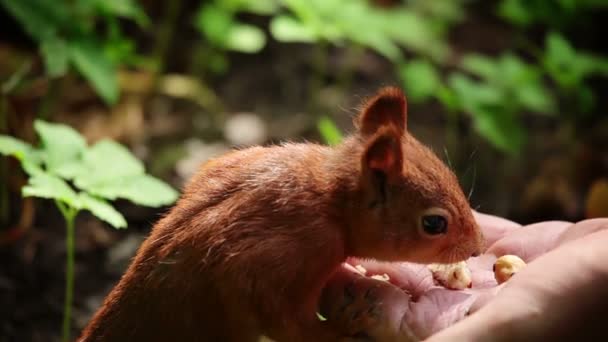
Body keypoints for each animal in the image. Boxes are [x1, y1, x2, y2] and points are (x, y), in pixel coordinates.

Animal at [78, 87, 484, 342]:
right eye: (434, 223)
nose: (478, 246)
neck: (329, 202)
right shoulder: (277, 266)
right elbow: (288, 324)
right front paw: (341, 331)